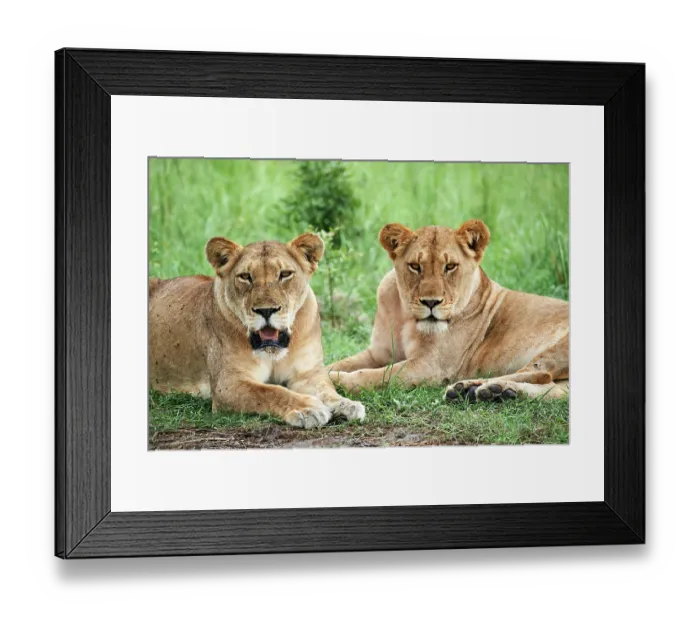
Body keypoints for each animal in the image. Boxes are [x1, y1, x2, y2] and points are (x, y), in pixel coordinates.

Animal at [149, 233, 365, 429]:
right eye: (246, 277)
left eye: (285, 274)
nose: (266, 310)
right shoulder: (227, 385)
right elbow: (270, 392)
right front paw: (308, 409)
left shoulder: (307, 373)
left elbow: (326, 389)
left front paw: (347, 405)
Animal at [328, 221, 569, 403]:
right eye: (415, 266)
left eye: (450, 266)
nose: (431, 302)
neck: (406, 317)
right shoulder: (378, 353)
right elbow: (339, 363)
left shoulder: (430, 366)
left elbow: (377, 375)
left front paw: (337, 380)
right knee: (555, 389)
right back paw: (494, 392)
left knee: (539, 373)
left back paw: (471, 387)